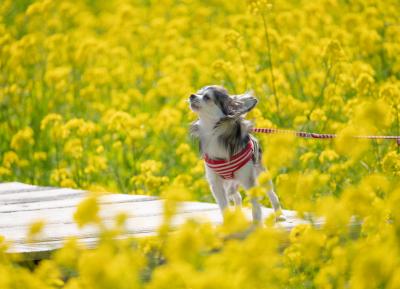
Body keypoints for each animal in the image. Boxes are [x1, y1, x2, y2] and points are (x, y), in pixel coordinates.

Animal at [188, 84, 280, 224]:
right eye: (198, 92)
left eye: (207, 97)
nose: (191, 95)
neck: (213, 131)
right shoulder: (216, 183)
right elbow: (223, 205)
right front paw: (228, 224)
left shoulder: (248, 180)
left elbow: (255, 206)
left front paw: (257, 224)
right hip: (228, 183)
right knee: (237, 196)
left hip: (261, 174)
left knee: (271, 194)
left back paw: (279, 215)